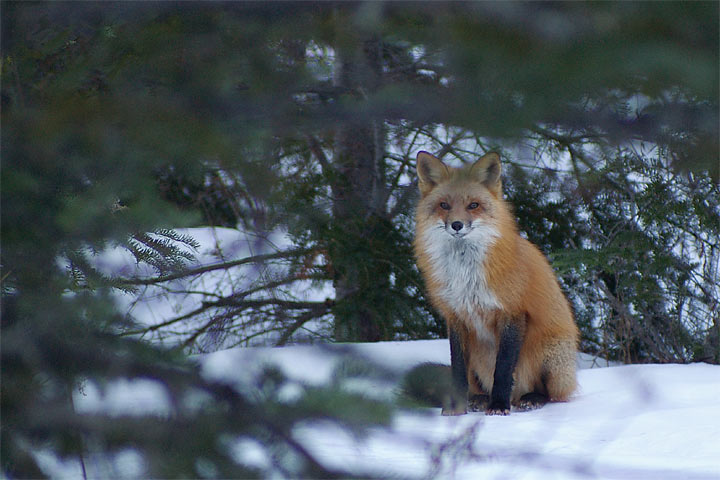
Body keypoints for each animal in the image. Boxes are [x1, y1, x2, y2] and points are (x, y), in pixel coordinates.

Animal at [413, 151, 579, 415]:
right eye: (444, 205)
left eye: (473, 205)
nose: (457, 225)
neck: (466, 274)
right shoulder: (456, 316)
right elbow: (457, 370)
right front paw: (456, 409)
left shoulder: (512, 312)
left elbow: (503, 369)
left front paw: (499, 405)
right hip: (478, 360)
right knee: (475, 384)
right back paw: (479, 399)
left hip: (550, 355)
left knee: (551, 394)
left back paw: (529, 398)